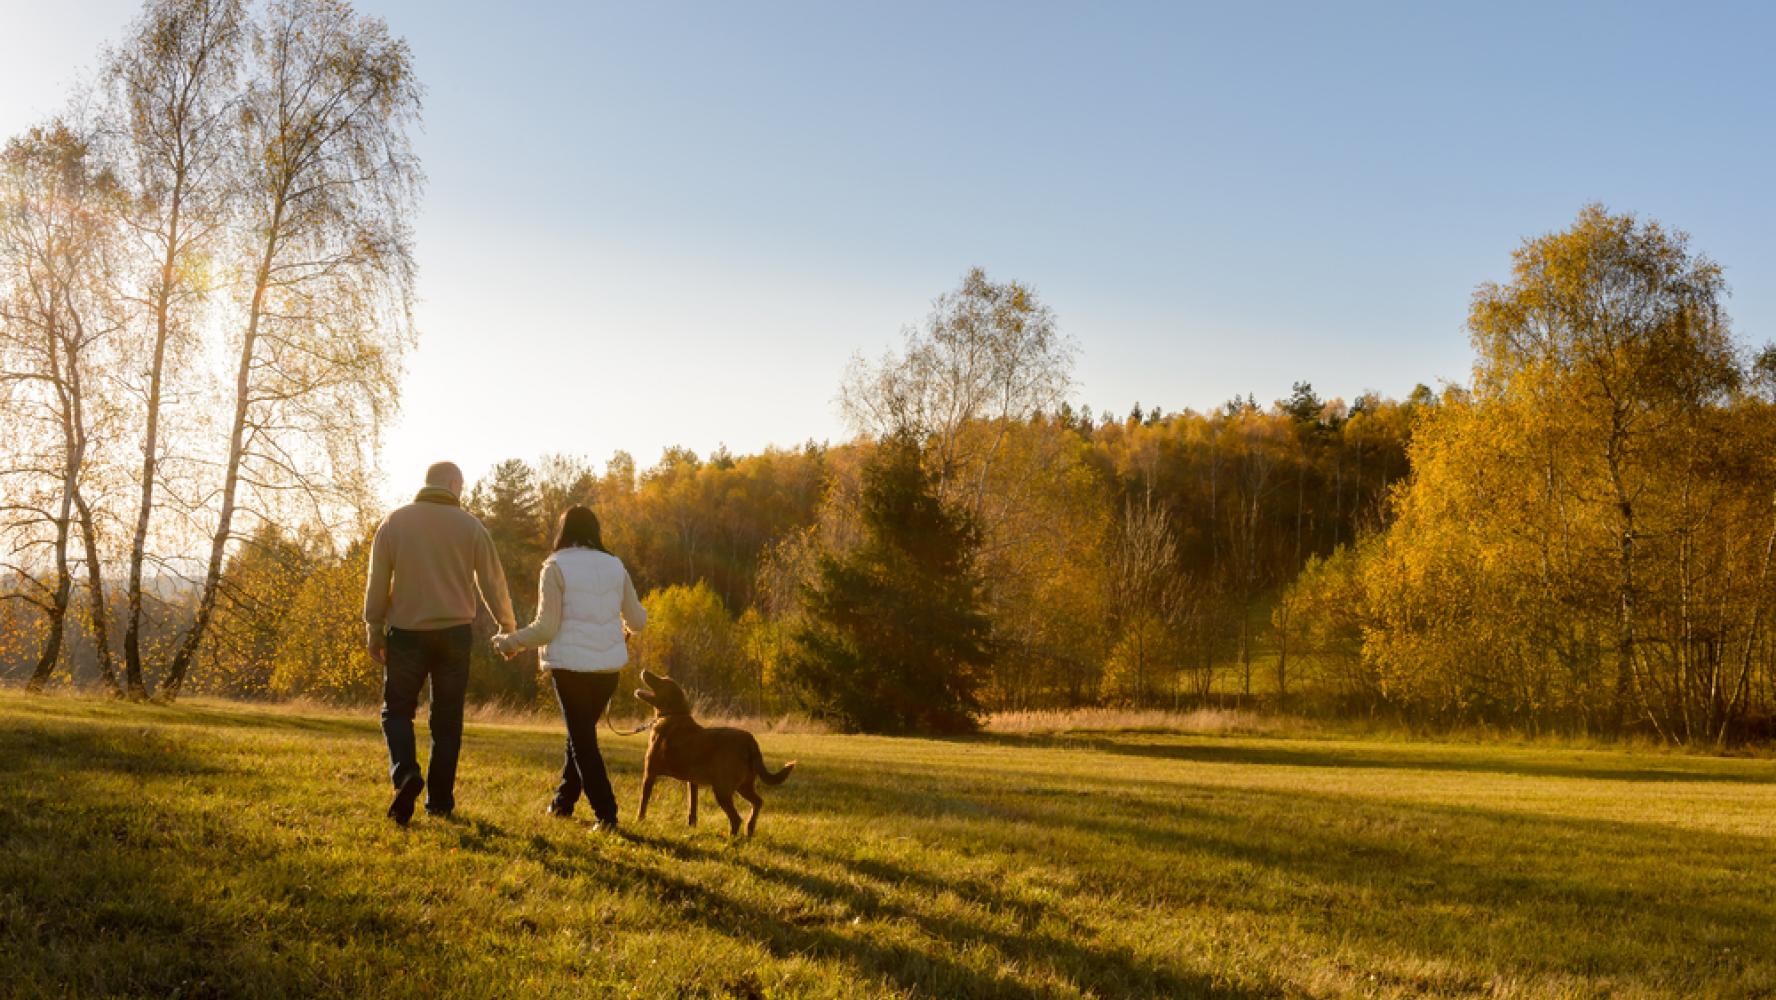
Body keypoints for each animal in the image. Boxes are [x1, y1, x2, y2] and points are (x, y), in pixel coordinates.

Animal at [635, 671, 795, 838]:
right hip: (743, 785)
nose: (645, 670)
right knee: (758, 802)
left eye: (661, 681)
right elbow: (692, 807)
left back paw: (732, 837)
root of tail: (749, 740)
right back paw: (749, 829)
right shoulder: (692, 782)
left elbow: (643, 803)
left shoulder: (649, 773)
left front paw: (639, 822)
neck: (671, 716)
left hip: (722, 790)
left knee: (736, 818)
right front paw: (691, 828)